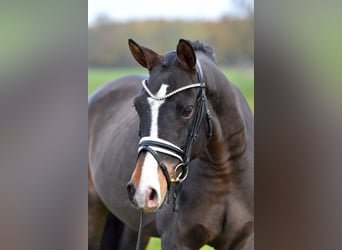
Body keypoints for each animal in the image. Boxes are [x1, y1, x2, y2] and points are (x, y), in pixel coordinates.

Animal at [88, 38, 254, 248]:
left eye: (187, 110)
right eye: (137, 106)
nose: (144, 189)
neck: (225, 172)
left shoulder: (244, 240)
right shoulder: (175, 240)